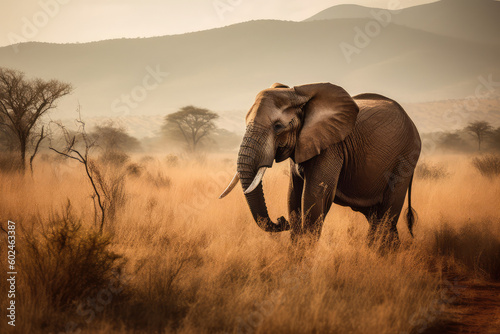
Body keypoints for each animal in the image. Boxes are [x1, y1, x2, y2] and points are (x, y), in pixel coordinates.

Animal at [221, 82, 420, 247]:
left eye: (278, 127)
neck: (297, 94)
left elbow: (314, 195)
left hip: (405, 160)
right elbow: (293, 196)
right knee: (378, 218)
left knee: (387, 215)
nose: (280, 220)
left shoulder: (331, 146)